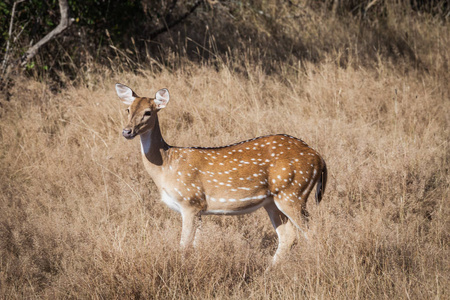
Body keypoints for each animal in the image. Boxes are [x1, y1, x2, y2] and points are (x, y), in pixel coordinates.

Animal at [116, 83, 326, 264]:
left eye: (148, 112)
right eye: (128, 109)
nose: (127, 131)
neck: (166, 165)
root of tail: (319, 158)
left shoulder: (190, 201)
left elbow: (184, 246)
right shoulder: (200, 209)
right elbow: (196, 245)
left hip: (293, 192)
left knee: (312, 233)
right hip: (273, 201)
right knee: (288, 235)